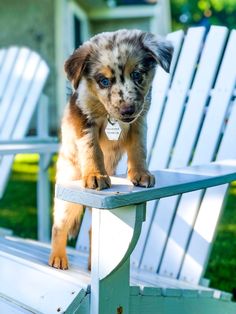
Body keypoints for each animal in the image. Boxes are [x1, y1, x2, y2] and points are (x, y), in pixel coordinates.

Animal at [48, 30, 173, 270]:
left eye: (137, 74)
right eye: (103, 81)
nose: (127, 110)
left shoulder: (139, 121)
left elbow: (138, 148)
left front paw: (141, 174)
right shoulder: (84, 119)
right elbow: (92, 149)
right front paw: (96, 175)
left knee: (91, 231)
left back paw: (92, 264)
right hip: (68, 192)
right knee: (59, 224)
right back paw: (58, 258)